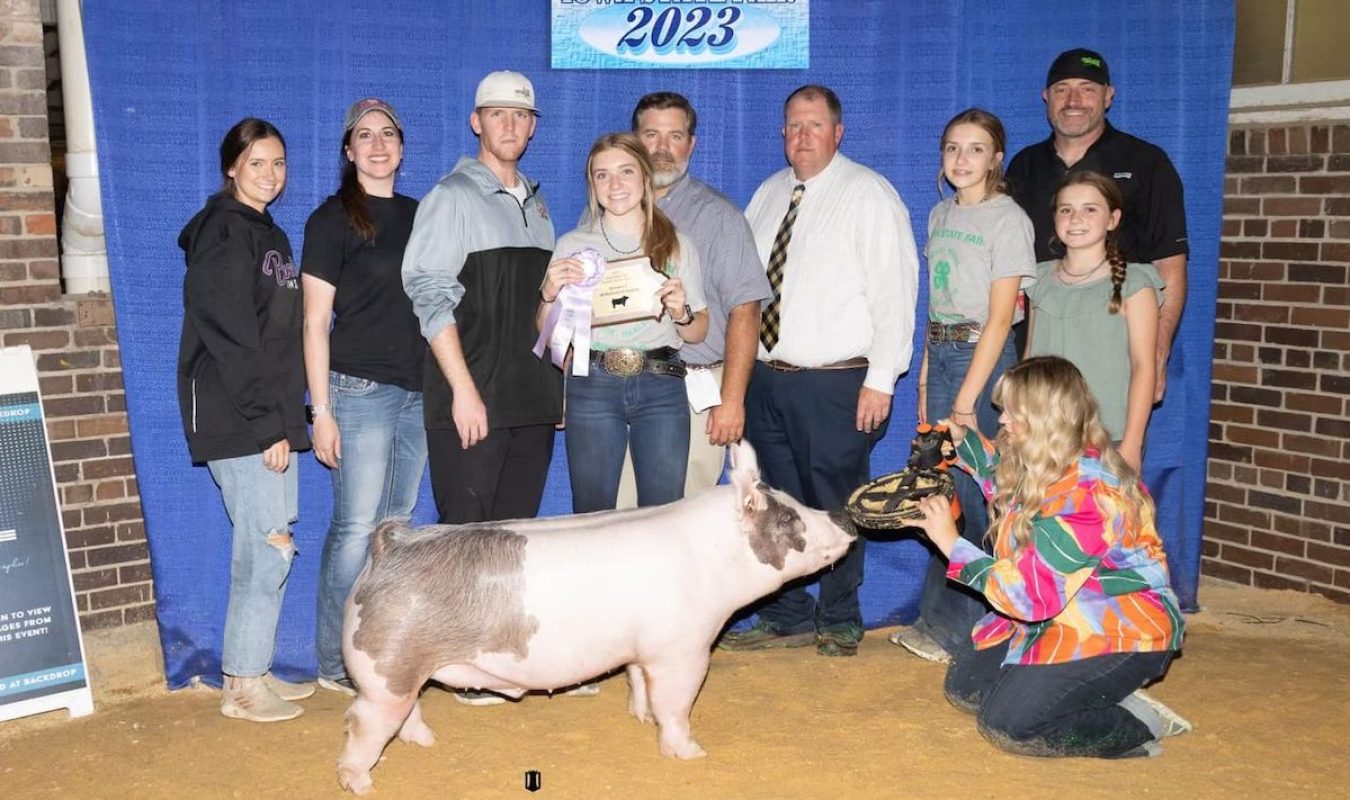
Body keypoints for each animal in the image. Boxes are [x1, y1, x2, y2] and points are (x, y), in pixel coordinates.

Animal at [342, 439, 858, 793]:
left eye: (795, 502)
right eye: (789, 520)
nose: (845, 518)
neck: (712, 557)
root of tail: (392, 545)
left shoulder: (642, 649)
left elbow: (638, 682)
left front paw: (641, 718)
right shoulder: (684, 648)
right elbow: (677, 703)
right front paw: (691, 754)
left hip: (403, 670)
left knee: (407, 710)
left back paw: (426, 742)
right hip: (389, 664)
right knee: (363, 721)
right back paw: (360, 783)